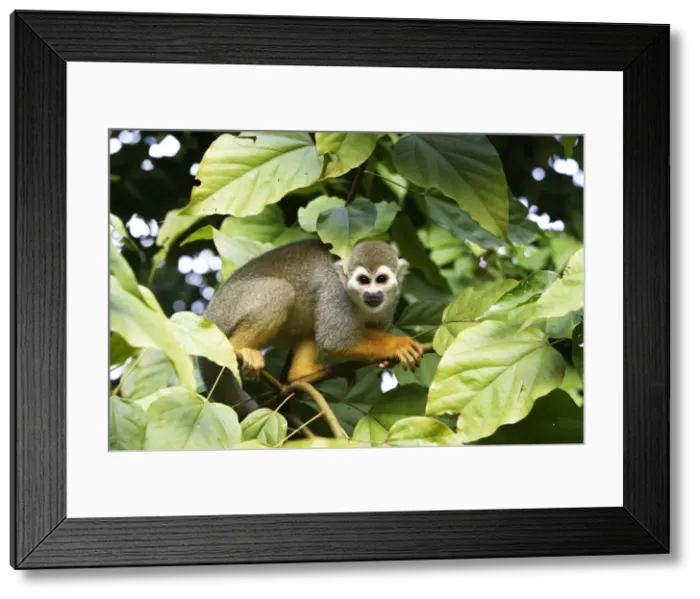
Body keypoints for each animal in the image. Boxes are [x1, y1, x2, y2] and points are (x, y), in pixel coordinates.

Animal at [198, 238, 424, 419]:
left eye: (382, 280)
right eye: (363, 280)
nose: (372, 294)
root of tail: (210, 313)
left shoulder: (390, 303)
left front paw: (385, 359)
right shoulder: (335, 293)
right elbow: (335, 339)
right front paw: (398, 345)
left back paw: (300, 374)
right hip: (231, 307)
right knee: (281, 292)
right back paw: (240, 348)